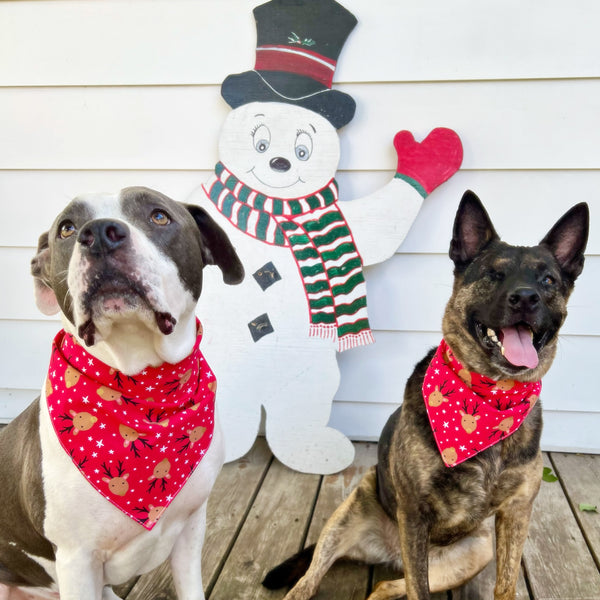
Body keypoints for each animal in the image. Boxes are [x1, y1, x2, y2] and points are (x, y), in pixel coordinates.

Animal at [0, 188, 244, 600]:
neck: (143, 390)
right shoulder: (77, 562)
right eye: (67, 228)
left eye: (159, 216)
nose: (99, 233)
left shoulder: (191, 527)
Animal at [264, 192, 592, 600]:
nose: (526, 298)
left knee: (385, 586)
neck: (491, 398)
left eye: (548, 279)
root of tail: (391, 552)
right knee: (311, 579)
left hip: (474, 551)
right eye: (493, 274)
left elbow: (505, 585)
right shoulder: (415, 514)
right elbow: (418, 589)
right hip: (348, 516)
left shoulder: (516, 512)